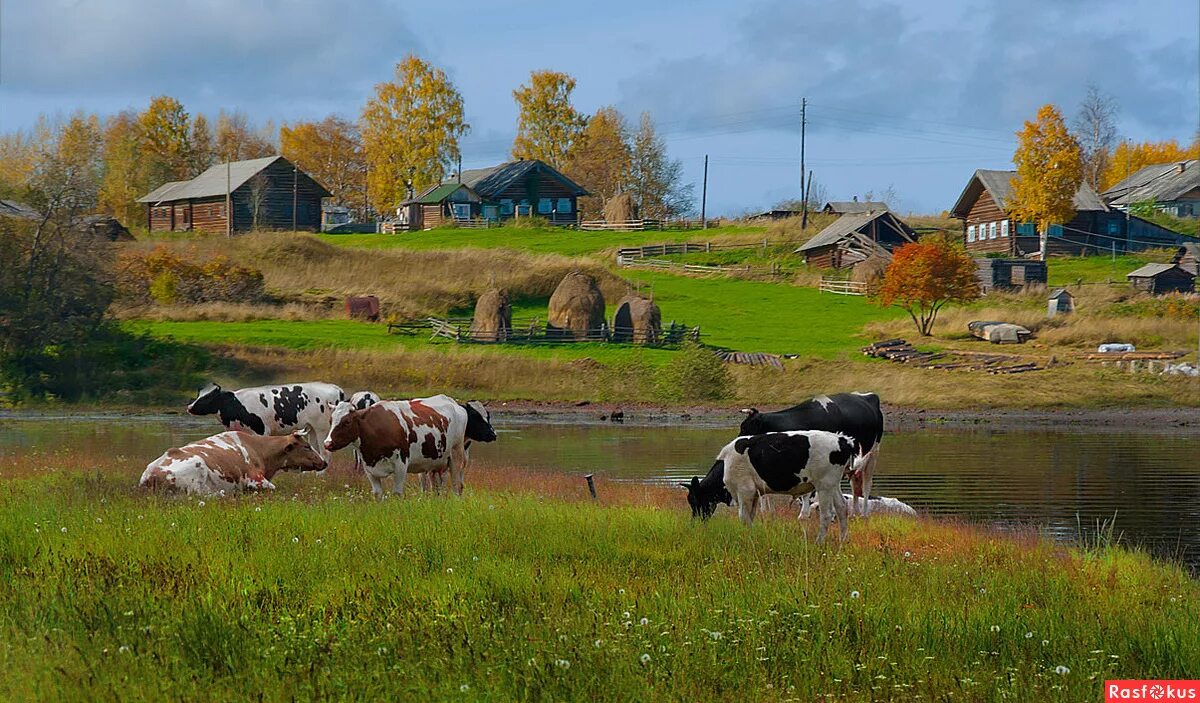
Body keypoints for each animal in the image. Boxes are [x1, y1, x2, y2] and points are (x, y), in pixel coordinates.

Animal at [188, 381, 348, 463]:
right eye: (199, 394)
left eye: (208, 397)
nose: (189, 407)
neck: (236, 406)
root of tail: (335, 388)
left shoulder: (261, 431)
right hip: (312, 428)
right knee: (316, 450)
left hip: (323, 428)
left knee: (325, 453)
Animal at [321, 393, 494, 499]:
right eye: (331, 420)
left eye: (347, 421)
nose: (327, 443)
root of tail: (453, 403)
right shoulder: (369, 468)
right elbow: (377, 494)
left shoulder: (401, 465)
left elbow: (397, 493)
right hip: (436, 463)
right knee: (436, 487)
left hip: (456, 457)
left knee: (457, 486)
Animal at [691, 427, 859, 542]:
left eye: (693, 500)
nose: (695, 523)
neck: (726, 462)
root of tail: (843, 440)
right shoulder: (755, 493)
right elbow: (750, 517)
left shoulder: (744, 490)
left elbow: (743, 517)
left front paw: (749, 538)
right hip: (833, 485)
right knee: (842, 508)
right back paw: (843, 540)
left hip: (824, 485)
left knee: (826, 514)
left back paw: (819, 542)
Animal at [739, 388, 883, 513]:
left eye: (745, 428)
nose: (738, 442)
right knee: (855, 482)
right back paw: (855, 512)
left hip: (873, 453)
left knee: (866, 484)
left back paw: (863, 513)